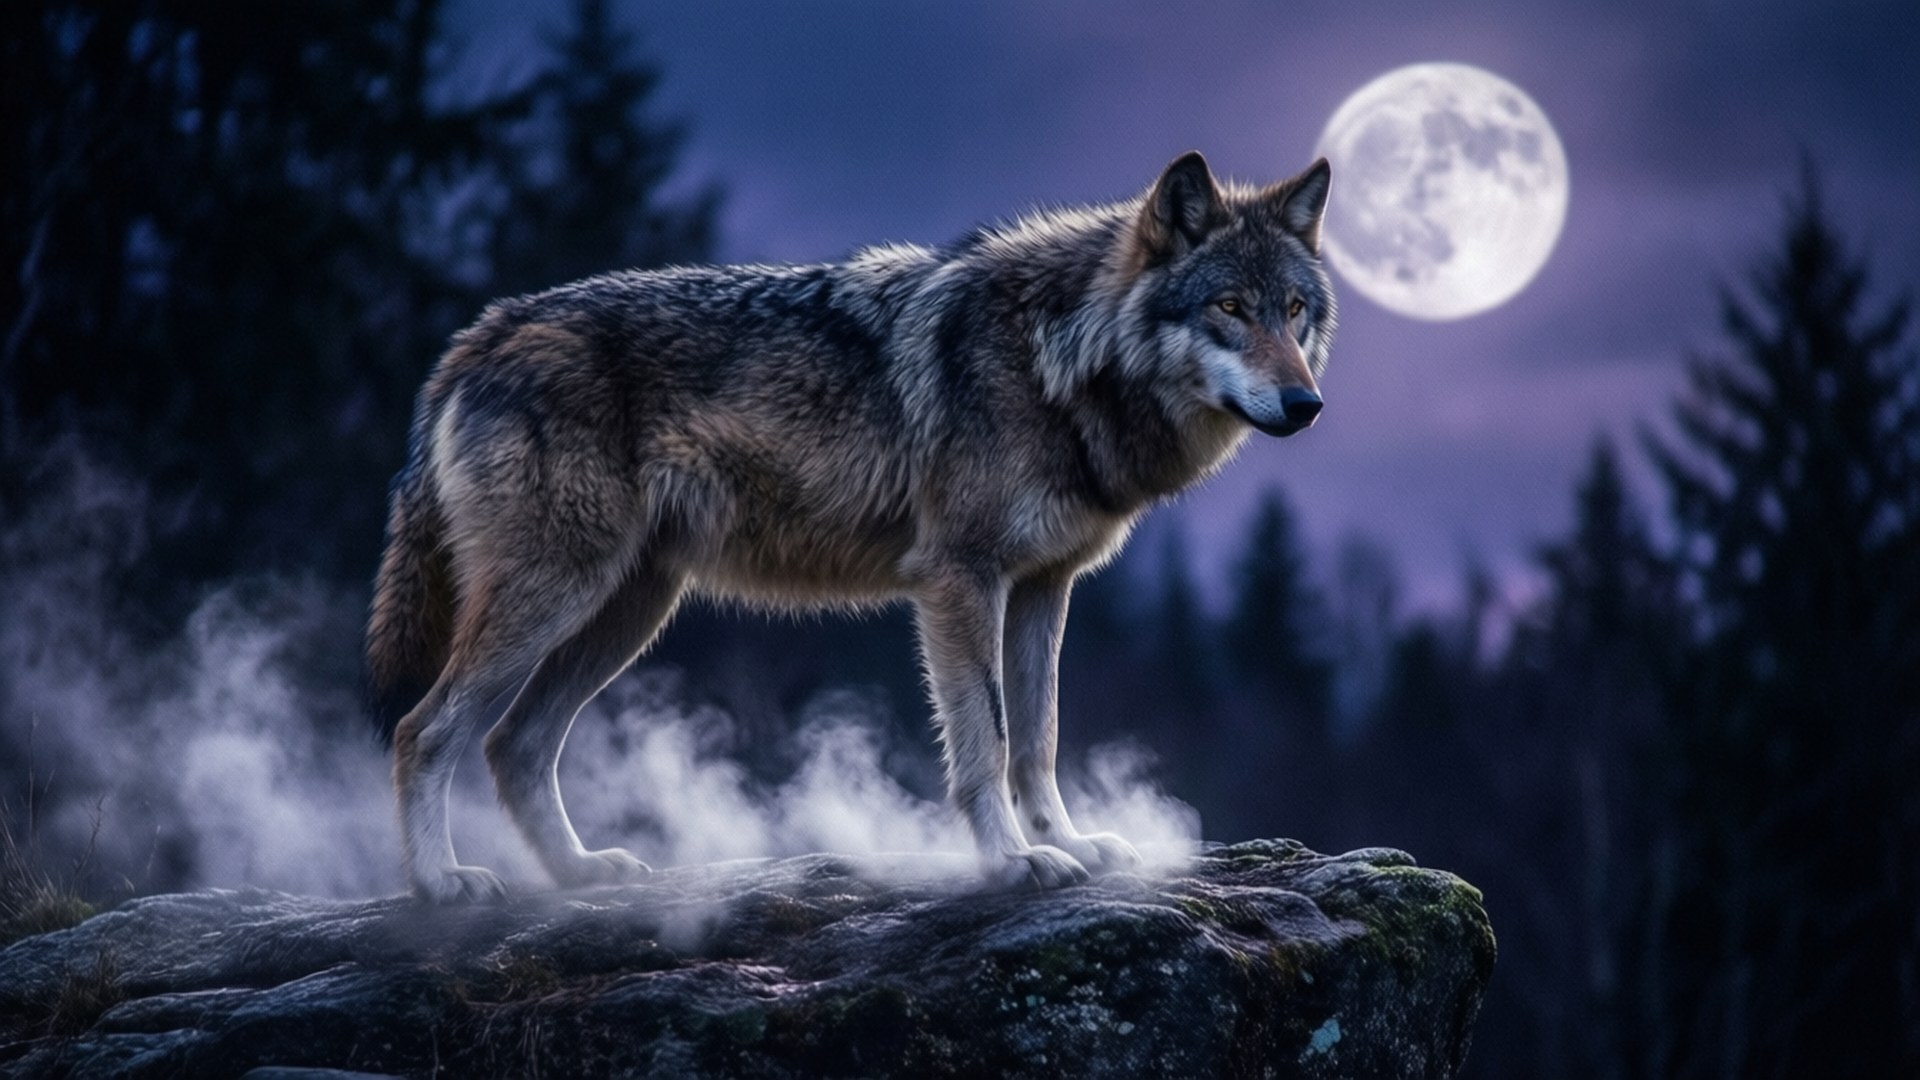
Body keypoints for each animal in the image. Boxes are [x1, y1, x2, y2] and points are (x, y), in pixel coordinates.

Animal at [365, 151, 1336, 902]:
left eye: (1294, 311)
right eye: (1229, 309)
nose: (1307, 405)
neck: (1054, 358)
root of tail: (481, 333)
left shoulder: (1043, 588)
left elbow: (1040, 741)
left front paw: (1068, 843)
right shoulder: (960, 580)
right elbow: (987, 741)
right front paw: (1011, 862)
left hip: (628, 610)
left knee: (516, 744)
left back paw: (579, 874)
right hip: (559, 595)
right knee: (426, 730)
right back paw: (442, 885)